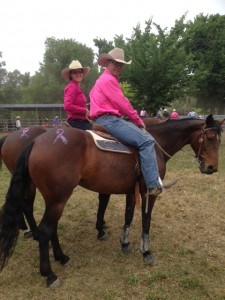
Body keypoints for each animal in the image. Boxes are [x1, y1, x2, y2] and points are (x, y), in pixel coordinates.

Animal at [0, 113, 222, 288]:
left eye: (220, 140)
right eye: (209, 137)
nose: (212, 168)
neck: (155, 143)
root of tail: (35, 142)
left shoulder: (131, 191)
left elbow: (128, 215)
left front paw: (124, 243)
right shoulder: (148, 191)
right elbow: (146, 220)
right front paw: (146, 252)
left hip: (52, 198)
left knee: (49, 226)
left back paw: (61, 257)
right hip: (56, 199)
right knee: (45, 228)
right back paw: (49, 274)